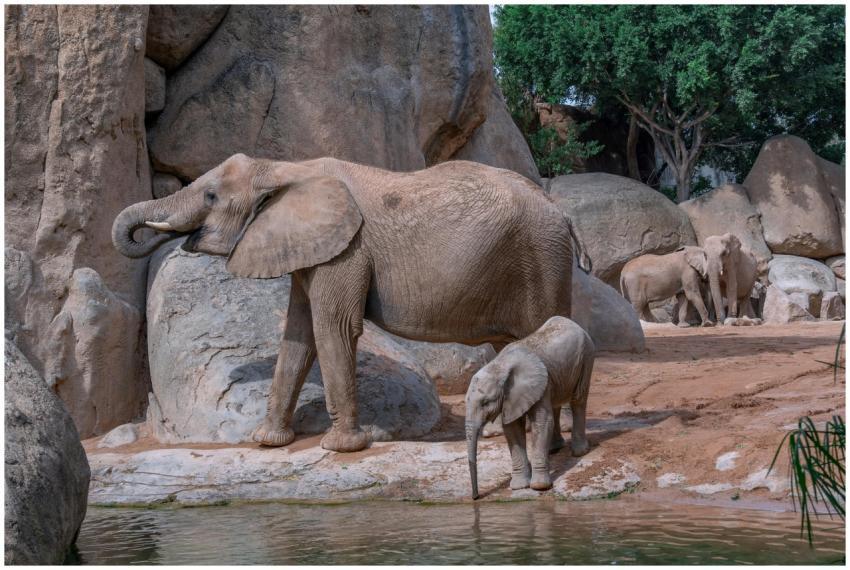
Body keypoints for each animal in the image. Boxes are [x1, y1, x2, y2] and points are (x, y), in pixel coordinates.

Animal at [112, 154, 587, 453]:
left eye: (211, 197)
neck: (285, 168)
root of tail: (561, 211)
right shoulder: (312, 250)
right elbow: (298, 336)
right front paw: (267, 442)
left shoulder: (346, 251)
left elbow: (333, 329)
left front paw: (342, 447)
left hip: (542, 258)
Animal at [464, 316, 594, 499]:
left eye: (486, 402)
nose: (475, 497)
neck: (500, 365)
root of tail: (572, 322)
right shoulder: (511, 397)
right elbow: (512, 428)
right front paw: (519, 487)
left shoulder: (536, 384)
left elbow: (541, 422)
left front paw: (539, 487)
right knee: (555, 404)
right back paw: (554, 449)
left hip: (586, 357)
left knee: (578, 400)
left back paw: (579, 452)